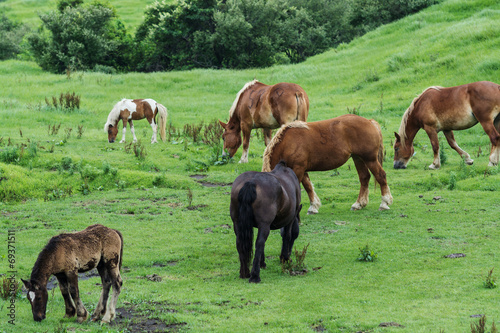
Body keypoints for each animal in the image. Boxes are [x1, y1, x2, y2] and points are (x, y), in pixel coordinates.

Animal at [260, 114, 392, 213]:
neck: (288, 144)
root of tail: (370, 122)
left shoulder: (298, 169)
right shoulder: (302, 170)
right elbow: (308, 186)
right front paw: (313, 206)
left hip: (370, 159)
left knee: (381, 176)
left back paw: (384, 203)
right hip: (358, 158)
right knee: (364, 177)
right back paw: (359, 204)